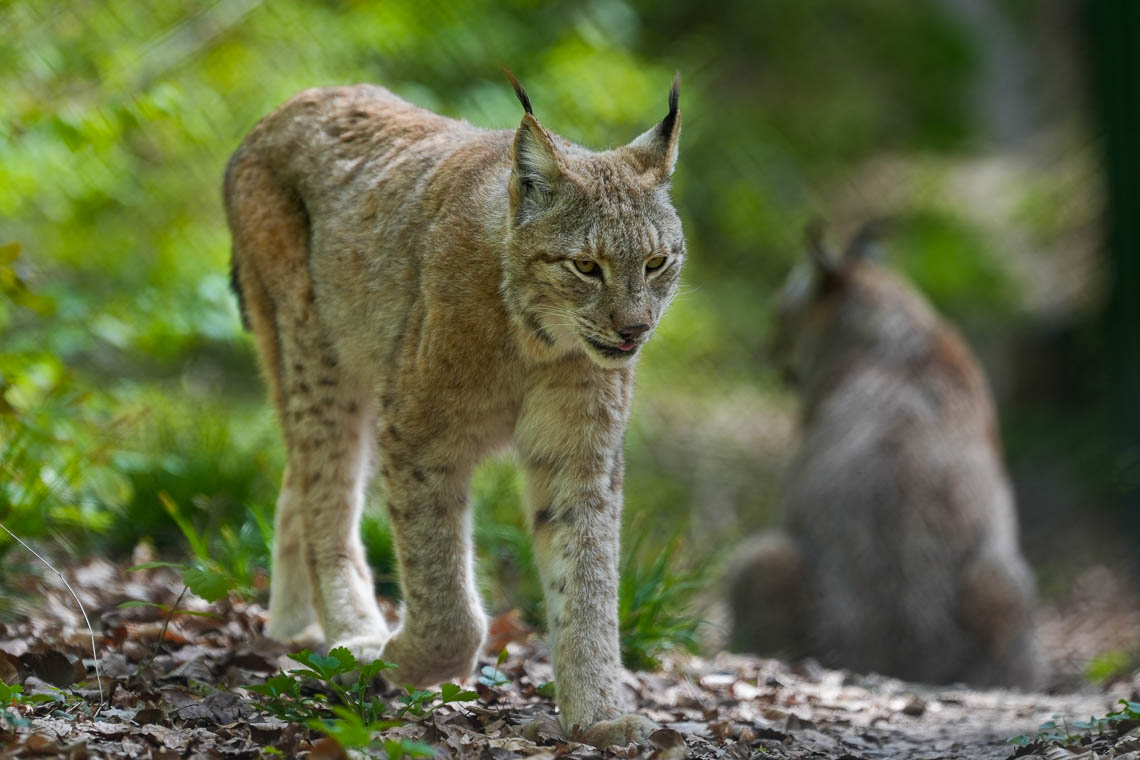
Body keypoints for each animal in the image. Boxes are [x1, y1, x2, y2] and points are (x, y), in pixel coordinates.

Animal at [222, 74, 684, 745]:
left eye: (656, 263)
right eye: (586, 266)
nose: (633, 331)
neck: (537, 339)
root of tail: (300, 98)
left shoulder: (579, 454)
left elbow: (587, 579)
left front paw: (599, 717)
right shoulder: (418, 430)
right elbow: (443, 587)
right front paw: (401, 660)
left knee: (297, 487)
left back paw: (297, 631)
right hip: (318, 348)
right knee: (325, 495)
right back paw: (355, 639)